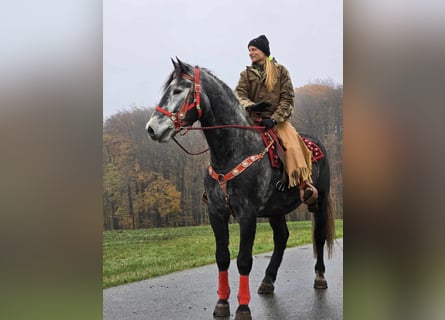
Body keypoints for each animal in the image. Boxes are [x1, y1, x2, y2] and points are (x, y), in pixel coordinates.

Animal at [145, 58, 332, 318]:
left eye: (179, 90)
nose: (152, 128)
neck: (233, 152)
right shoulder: (216, 213)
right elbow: (222, 257)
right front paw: (222, 303)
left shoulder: (247, 215)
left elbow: (244, 260)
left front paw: (243, 307)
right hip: (276, 209)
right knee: (281, 237)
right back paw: (267, 281)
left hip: (319, 200)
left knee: (319, 236)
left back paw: (320, 277)